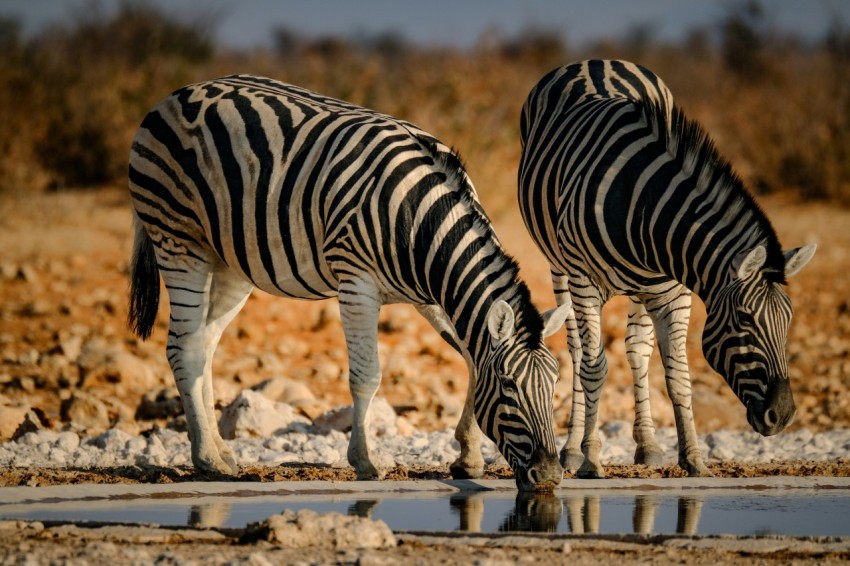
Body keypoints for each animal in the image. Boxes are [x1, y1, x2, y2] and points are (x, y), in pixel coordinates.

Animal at [127, 75, 568, 492]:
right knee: (184, 348)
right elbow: (367, 376)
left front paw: (469, 456)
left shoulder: (432, 295)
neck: (421, 222)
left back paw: (220, 452)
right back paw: (206, 460)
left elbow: (472, 359)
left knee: (205, 345)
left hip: (229, 261)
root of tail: (174, 96)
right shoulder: (357, 283)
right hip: (178, 240)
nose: (548, 476)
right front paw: (365, 461)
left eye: (555, 385)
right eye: (509, 387)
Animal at [516, 60, 816, 480]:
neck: (641, 205)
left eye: (788, 320)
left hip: (644, 289)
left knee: (637, 350)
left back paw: (648, 445)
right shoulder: (584, 281)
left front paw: (693, 459)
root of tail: (597, 60)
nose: (784, 415)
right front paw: (591, 459)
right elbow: (594, 367)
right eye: (744, 320)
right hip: (560, 266)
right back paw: (573, 450)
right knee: (577, 351)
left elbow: (678, 374)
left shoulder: (675, 291)